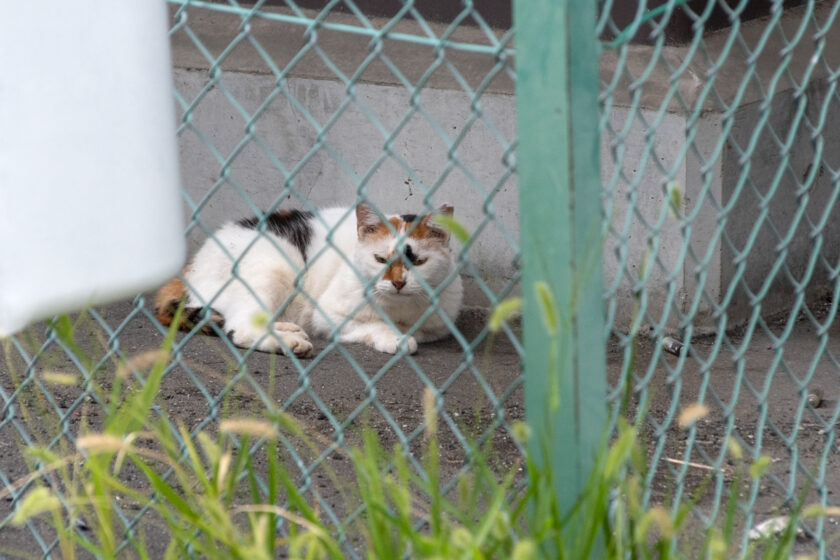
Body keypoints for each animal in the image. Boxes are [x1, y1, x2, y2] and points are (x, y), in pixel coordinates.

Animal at [154, 203, 462, 356]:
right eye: (380, 259)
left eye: (418, 262)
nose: (398, 283)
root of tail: (191, 265)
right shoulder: (327, 314)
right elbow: (373, 324)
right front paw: (395, 338)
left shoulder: (437, 327)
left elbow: (415, 331)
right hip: (275, 268)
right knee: (239, 328)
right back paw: (290, 343)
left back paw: (289, 328)